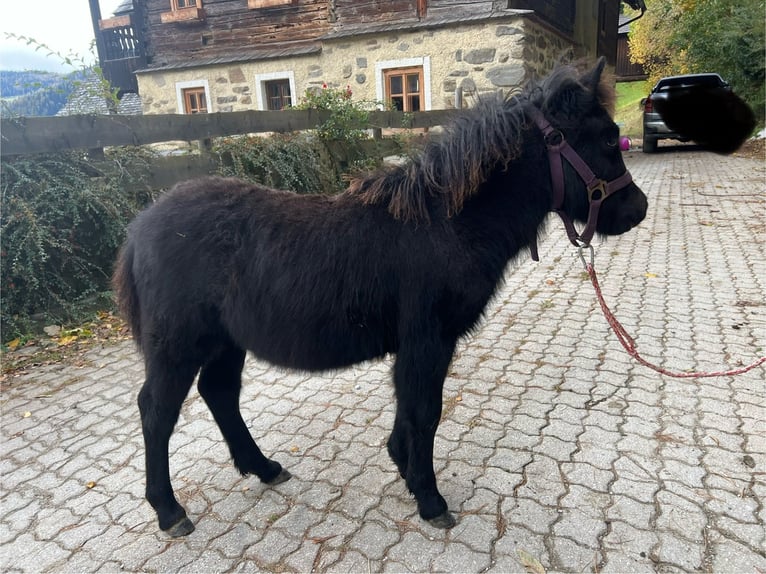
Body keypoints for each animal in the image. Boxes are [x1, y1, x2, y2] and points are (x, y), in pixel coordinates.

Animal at [114, 57, 652, 536]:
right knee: (157, 412)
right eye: (607, 138)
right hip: (177, 345)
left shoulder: (420, 344)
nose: (638, 209)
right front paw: (430, 499)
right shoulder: (428, 340)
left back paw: (264, 468)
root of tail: (139, 228)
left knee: (220, 394)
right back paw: (170, 511)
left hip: (225, 342)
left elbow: (409, 411)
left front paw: (406, 472)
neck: (446, 224)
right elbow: (425, 413)